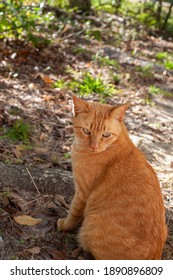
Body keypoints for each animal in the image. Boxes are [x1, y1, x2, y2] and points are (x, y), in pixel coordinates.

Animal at [57, 95, 166, 260]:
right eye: (86, 131)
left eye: (106, 134)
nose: (94, 147)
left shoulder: (82, 192)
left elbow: (73, 212)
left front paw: (64, 225)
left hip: (92, 226)